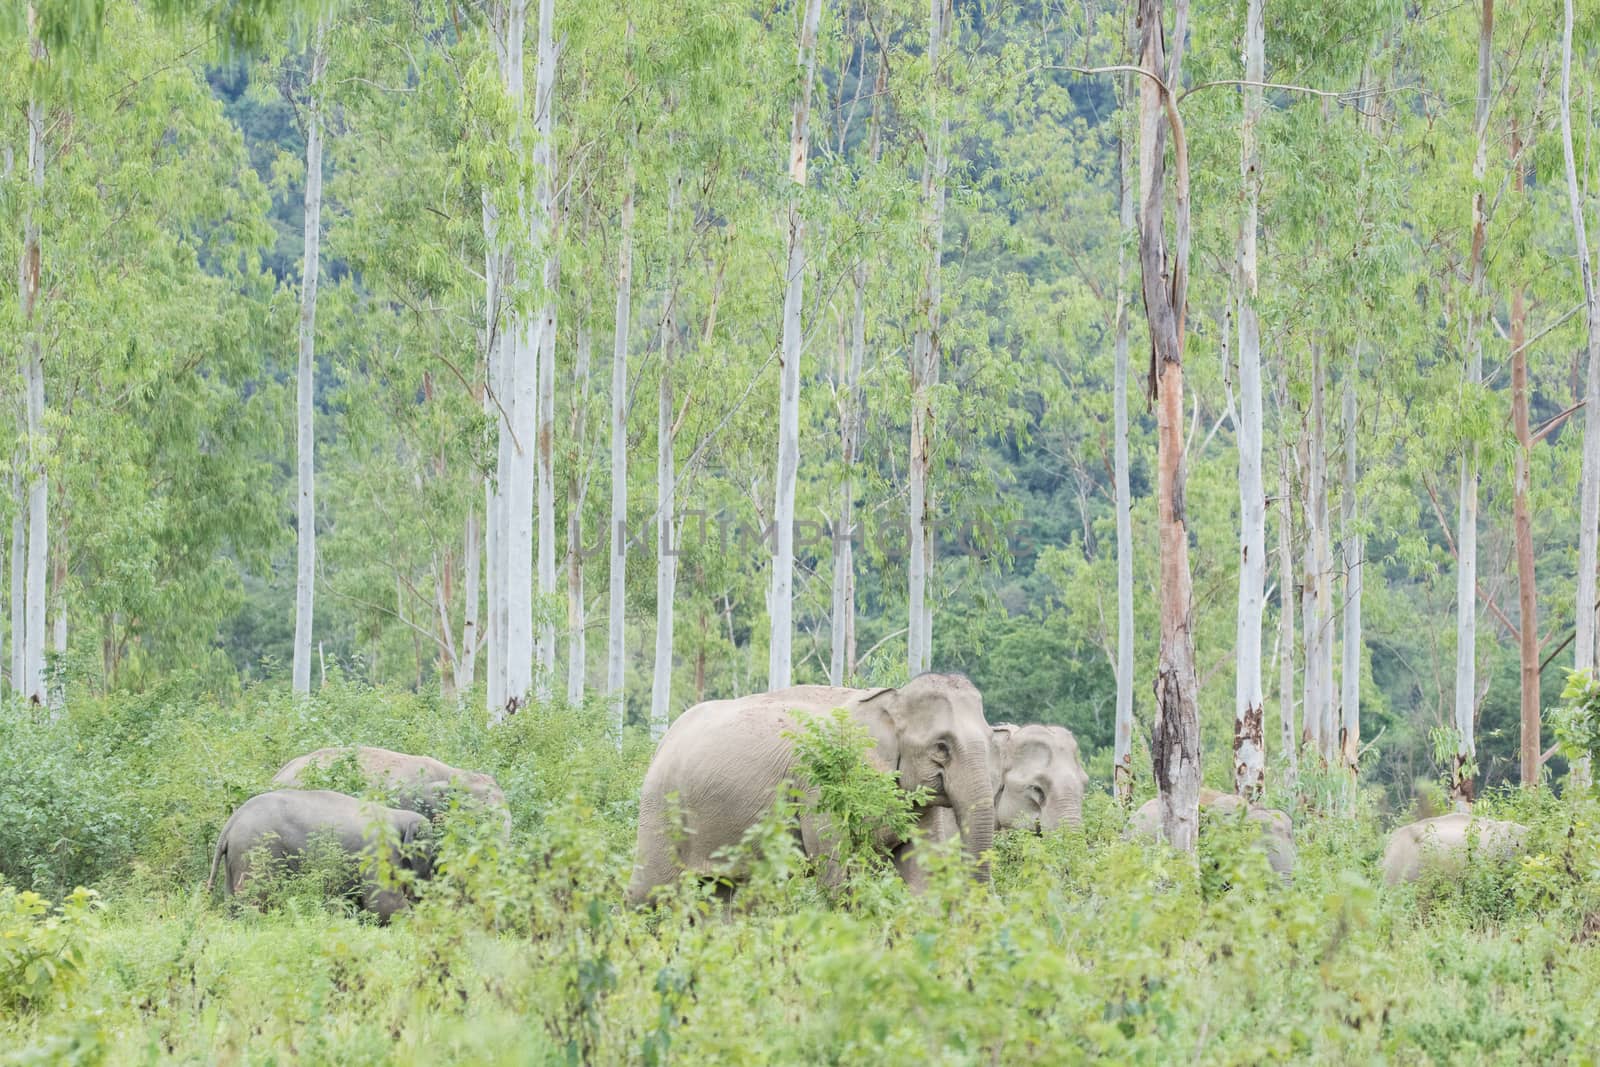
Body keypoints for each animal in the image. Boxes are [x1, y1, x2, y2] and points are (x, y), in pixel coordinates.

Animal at [204, 790, 438, 921]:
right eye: (433, 857)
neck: (397, 816)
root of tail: (231, 822)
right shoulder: (377, 852)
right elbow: (384, 904)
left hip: (236, 860)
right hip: (256, 853)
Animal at [620, 671, 985, 908]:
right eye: (941, 747)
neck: (889, 698)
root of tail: (664, 740)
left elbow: (922, 873)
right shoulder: (821, 786)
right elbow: (837, 873)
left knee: (724, 895)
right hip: (662, 808)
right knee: (650, 891)